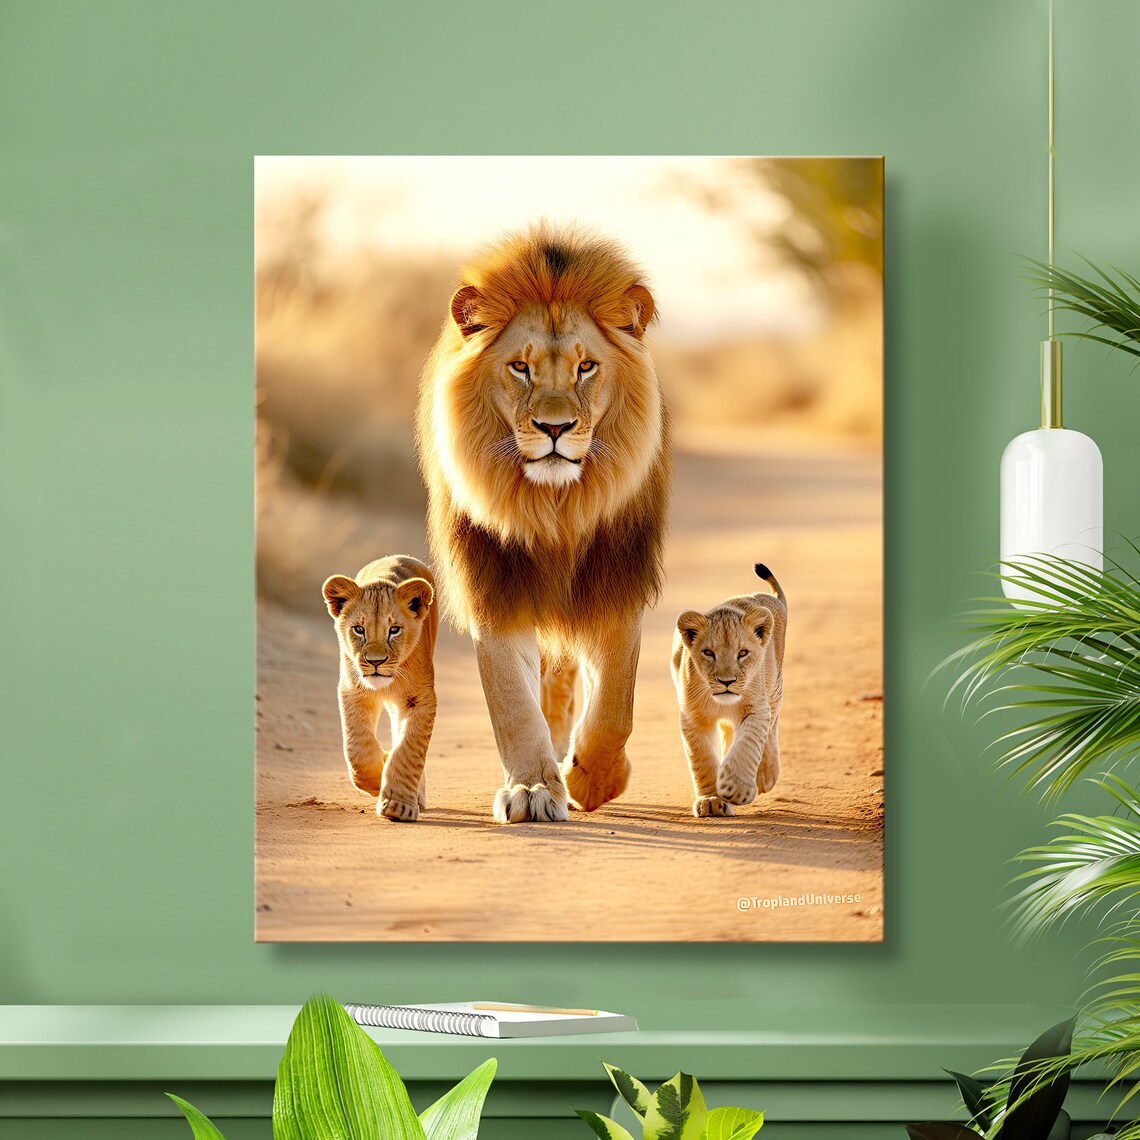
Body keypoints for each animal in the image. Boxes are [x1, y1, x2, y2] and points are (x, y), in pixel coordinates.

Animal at [321, 556, 437, 822]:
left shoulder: (421, 698)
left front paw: (398, 805)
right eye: (359, 629)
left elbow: (409, 750)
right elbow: (358, 748)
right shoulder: (353, 689)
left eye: (394, 630)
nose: (376, 662)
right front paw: (379, 773)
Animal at [415, 224, 671, 823]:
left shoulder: (615, 579)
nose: (555, 428)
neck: (554, 509)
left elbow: (616, 703)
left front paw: (594, 780)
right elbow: (513, 700)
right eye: (520, 367)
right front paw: (533, 786)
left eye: (586, 367)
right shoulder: (496, 582)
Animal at [671, 564, 787, 818]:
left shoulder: (756, 709)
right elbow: (702, 759)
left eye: (742, 653)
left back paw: (765, 777)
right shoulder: (693, 717)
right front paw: (711, 800)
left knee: (772, 727)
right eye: (708, 653)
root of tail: (771, 598)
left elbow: (748, 743)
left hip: (774, 691)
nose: (727, 681)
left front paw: (736, 788)